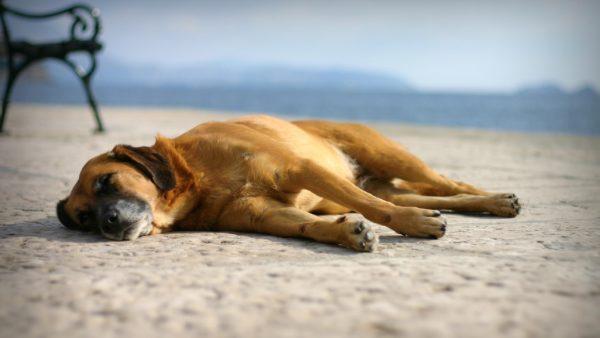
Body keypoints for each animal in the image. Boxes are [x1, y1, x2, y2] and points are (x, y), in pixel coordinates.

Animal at [58, 115, 524, 251]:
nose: (108, 223)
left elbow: (375, 209)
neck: (197, 179)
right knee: (436, 193)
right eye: (83, 219)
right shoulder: (264, 214)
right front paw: (347, 234)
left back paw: (499, 200)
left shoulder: (299, 169)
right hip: (377, 181)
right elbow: (307, 225)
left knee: (447, 180)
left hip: (389, 155)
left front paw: (411, 224)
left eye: (106, 182)